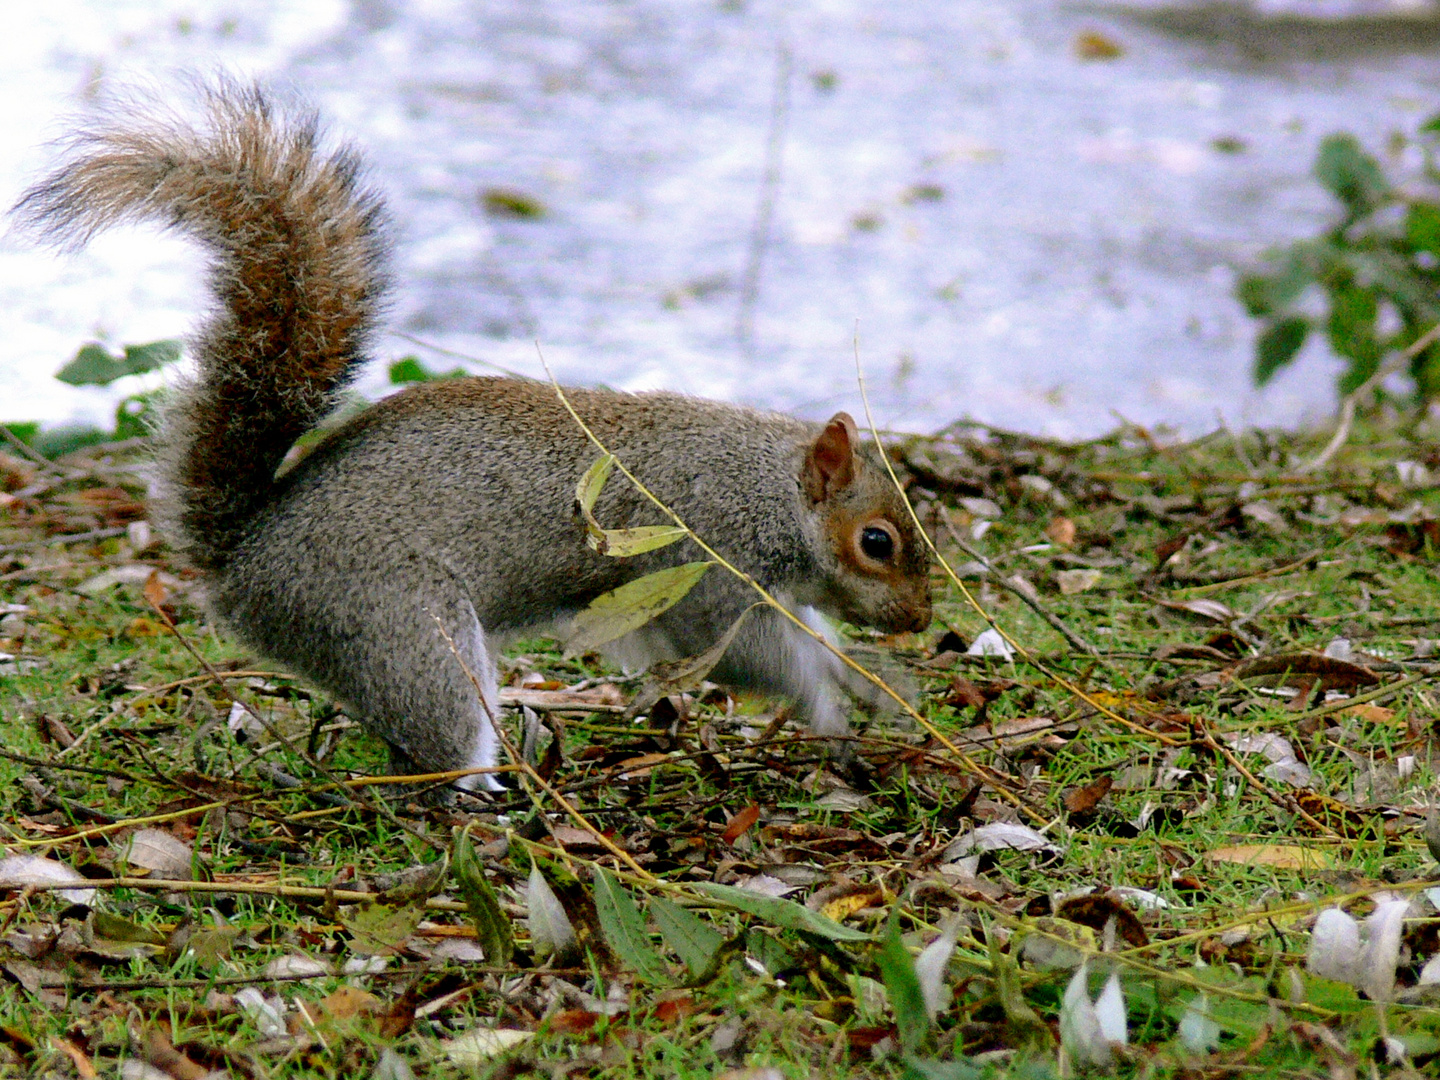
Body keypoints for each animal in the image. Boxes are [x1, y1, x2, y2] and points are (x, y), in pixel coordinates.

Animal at [19, 86, 933, 794]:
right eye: (877, 541)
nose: (922, 620)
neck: (767, 487)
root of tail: (243, 562)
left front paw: (874, 681)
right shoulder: (702, 564)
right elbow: (753, 656)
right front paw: (833, 705)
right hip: (404, 628)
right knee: (436, 747)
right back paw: (491, 802)